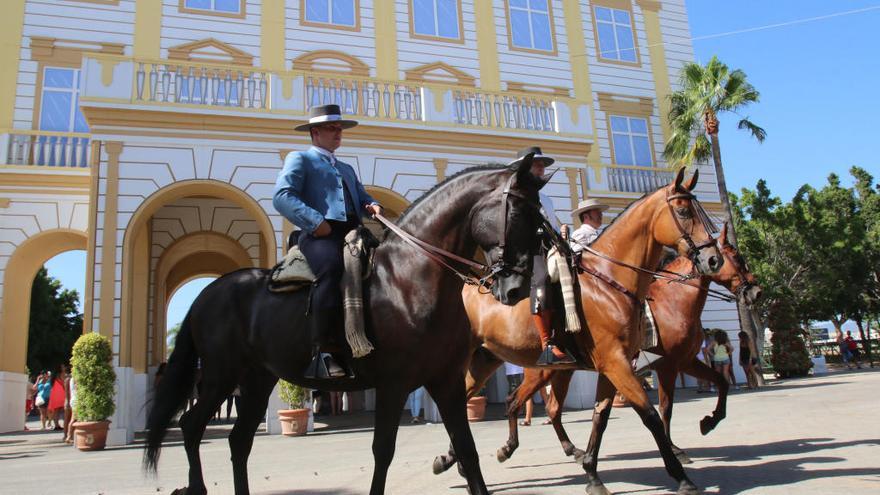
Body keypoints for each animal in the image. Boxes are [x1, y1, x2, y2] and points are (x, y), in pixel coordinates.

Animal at [144, 157, 552, 494]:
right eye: (518, 211)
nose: (515, 288)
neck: (411, 278)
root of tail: (208, 293)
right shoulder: (393, 383)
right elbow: (383, 451)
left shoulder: (445, 380)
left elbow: (466, 449)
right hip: (220, 375)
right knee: (192, 425)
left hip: (258, 379)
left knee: (239, 441)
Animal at [434, 168, 720, 495]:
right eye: (684, 211)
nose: (713, 259)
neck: (609, 283)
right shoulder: (618, 363)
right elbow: (651, 416)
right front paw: (681, 476)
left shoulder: (614, 366)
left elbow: (601, 416)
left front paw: (592, 474)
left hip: (485, 360)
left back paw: (453, 460)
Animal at [488, 222, 764, 472]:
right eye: (736, 258)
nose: (756, 292)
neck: (674, 302)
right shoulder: (669, 365)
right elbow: (666, 408)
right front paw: (676, 448)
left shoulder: (685, 361)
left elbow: (721, 382)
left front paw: (708, 422)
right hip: (541, 373)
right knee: (515, 401)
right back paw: (508, 448)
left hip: (562, 372)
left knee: (553, 408)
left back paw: (571, 450)